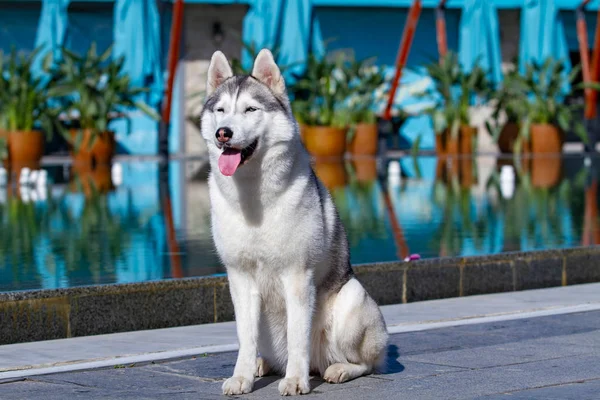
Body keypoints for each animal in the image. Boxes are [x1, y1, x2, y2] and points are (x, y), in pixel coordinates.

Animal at [202, 48, 390, 396]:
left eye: (250, 109)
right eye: (221, 110)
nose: (224, 133)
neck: (254, 196)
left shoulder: (297, 276)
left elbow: (297, 337)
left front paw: (294, 380)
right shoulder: (240, 277)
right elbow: (245, 338)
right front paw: (242, 376)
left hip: (352, 300)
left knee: (365, 363)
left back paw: (338, 369)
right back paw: (263, 365)